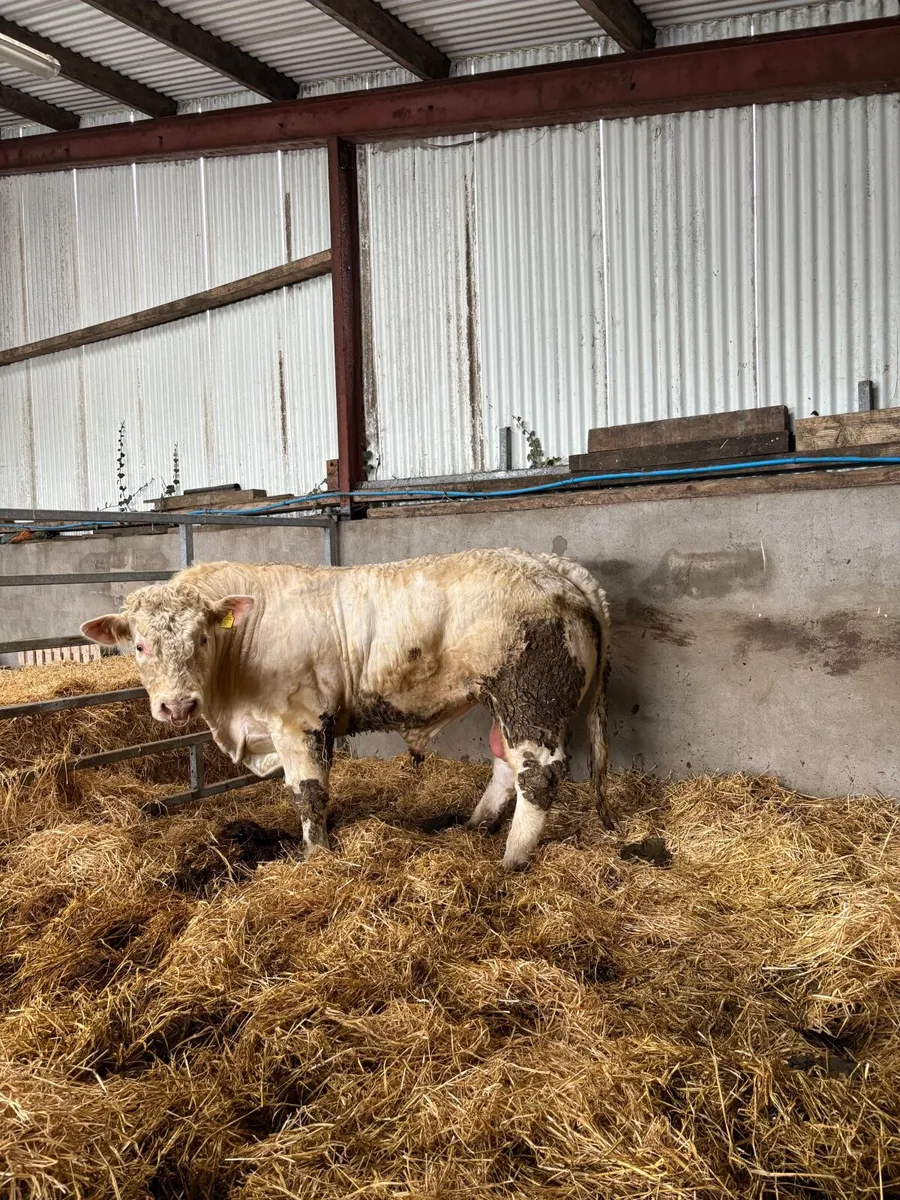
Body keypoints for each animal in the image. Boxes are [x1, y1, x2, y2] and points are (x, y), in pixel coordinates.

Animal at [82, 549, 611, 871]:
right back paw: (474, 825)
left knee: (538, 776)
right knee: (506, 765)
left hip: (530, 699)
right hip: (504, 703)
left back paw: (511, 859)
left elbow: (308, 793)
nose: (176, 705)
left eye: (202, 638)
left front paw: (316, 856)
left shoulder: (298, 720)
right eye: (140, 646)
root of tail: (551, 566)